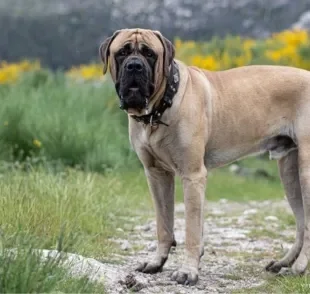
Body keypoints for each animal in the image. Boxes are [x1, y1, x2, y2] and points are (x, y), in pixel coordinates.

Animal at [99, 28, 310, 286]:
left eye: (150, 54)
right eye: (122, 52)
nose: (134, 66)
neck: (160, 108)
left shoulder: (192, 175)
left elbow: (191, 227)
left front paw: (188, 270)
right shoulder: (157, 175)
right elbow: (164, 224)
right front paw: (157, 262)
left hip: (305, 170)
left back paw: (298, 267)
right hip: (289, 172)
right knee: (301, 222)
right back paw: (284, 262)